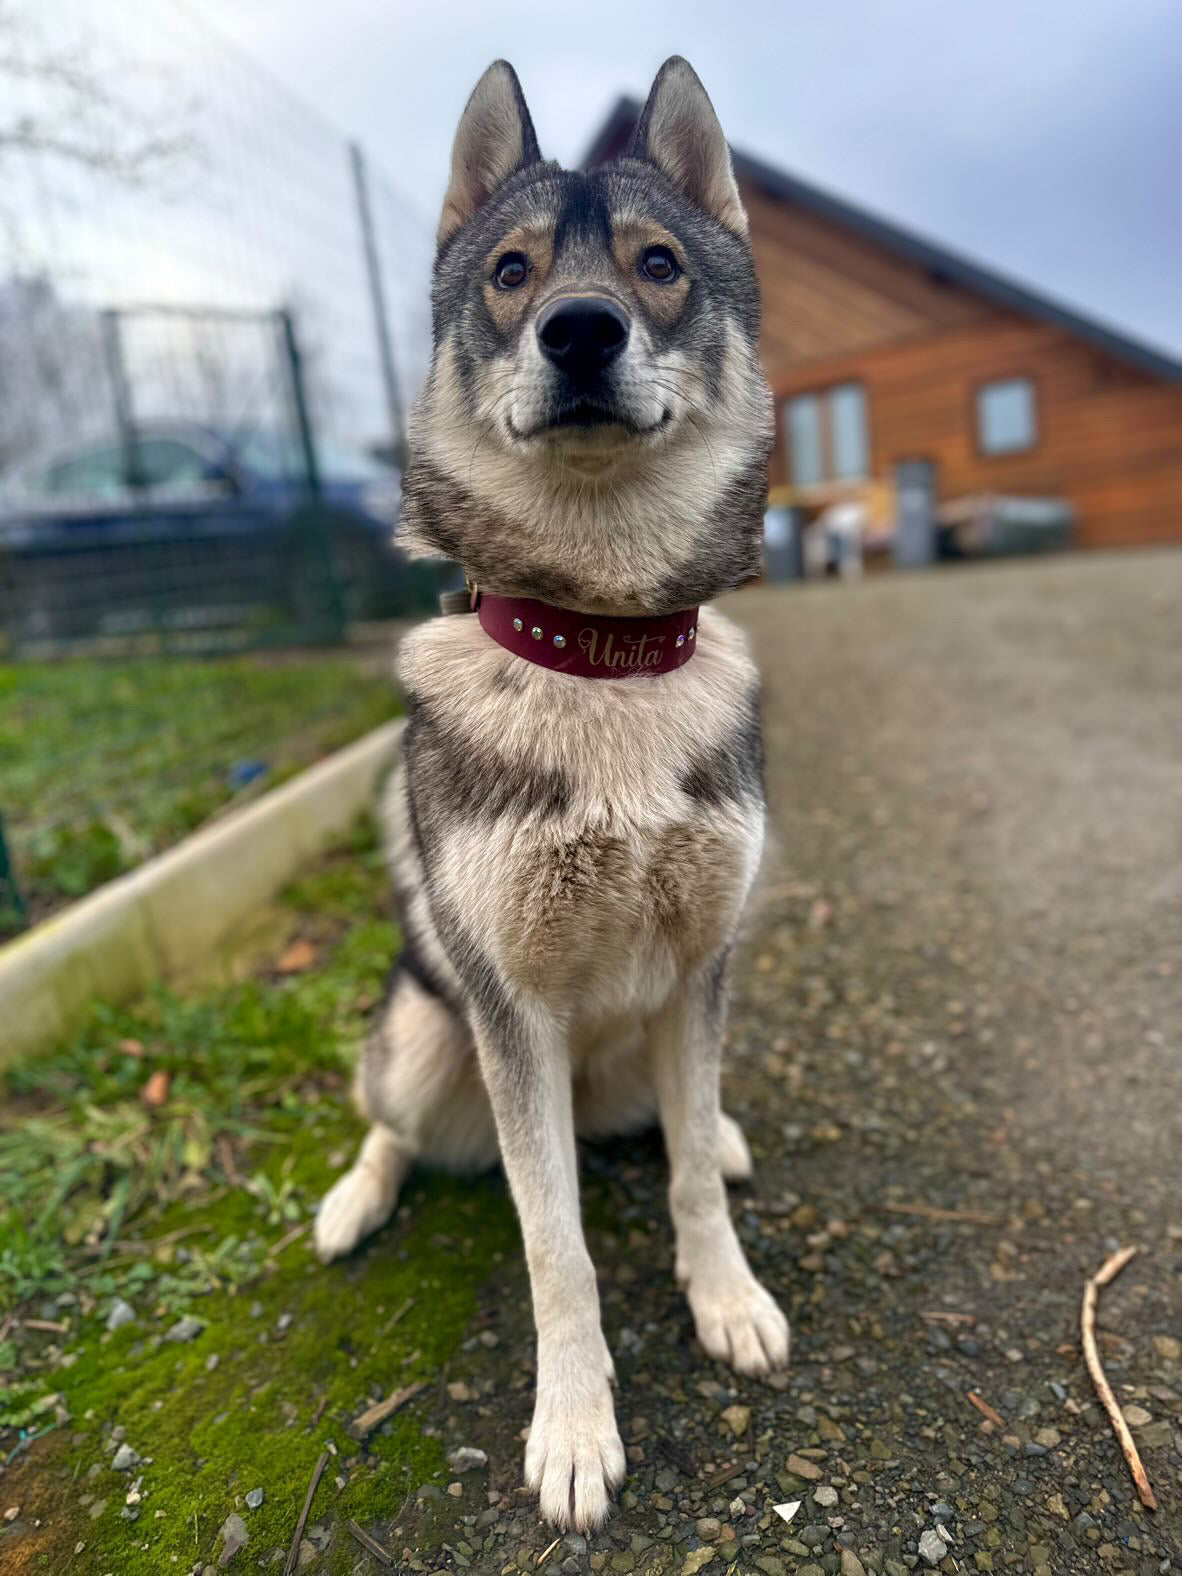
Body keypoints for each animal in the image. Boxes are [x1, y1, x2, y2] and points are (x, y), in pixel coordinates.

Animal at [319, 58, 791, 1525]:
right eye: (513, 272)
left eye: (656, 265)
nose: (580, 330)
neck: (601, 651)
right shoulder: (510, 1012)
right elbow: (554, 1246)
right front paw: (576, 1428)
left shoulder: (702, 964)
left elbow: (689, 1178)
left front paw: (726, 1299)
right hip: (427, 1038)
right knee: (388, 1124)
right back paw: (350, 1202)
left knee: (681, 1124)